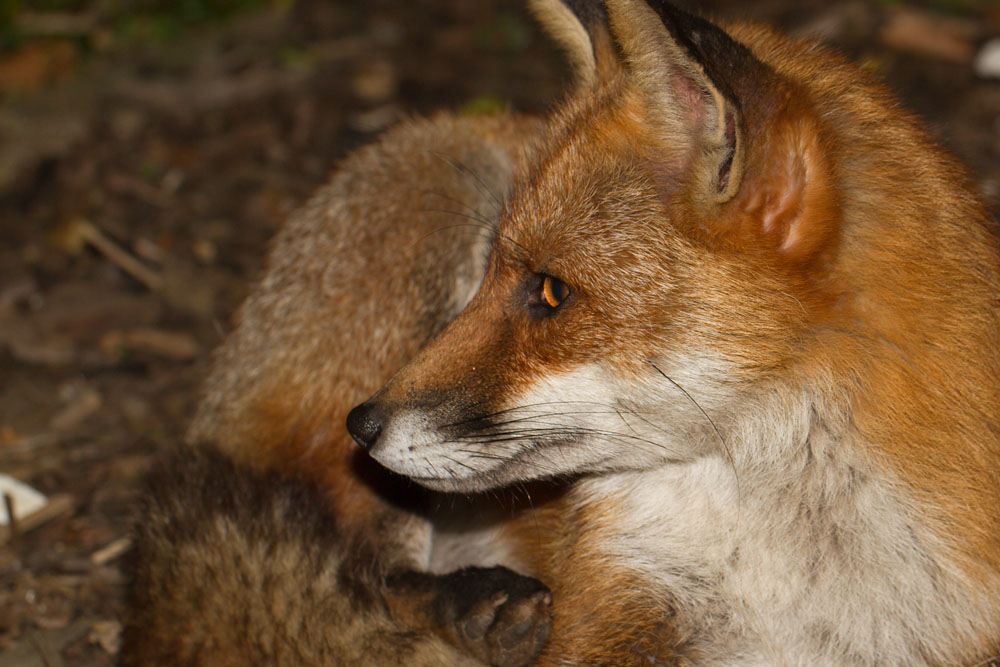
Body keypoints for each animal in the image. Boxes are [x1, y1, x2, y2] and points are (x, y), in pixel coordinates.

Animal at [124, 0, 1000, 665]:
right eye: (493, 272)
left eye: (550, 291)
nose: (361, 424)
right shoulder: (621, 587)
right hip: (438, 198)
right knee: (354, 572)